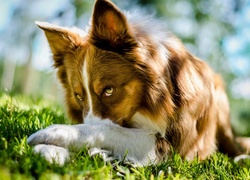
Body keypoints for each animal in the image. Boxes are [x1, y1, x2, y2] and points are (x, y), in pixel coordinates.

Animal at [27, 0, 250, 166]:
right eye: (79, 96)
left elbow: (107, 128)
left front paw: (56, 132)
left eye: (109, 90)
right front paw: (51, 150)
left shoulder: (172, 147)